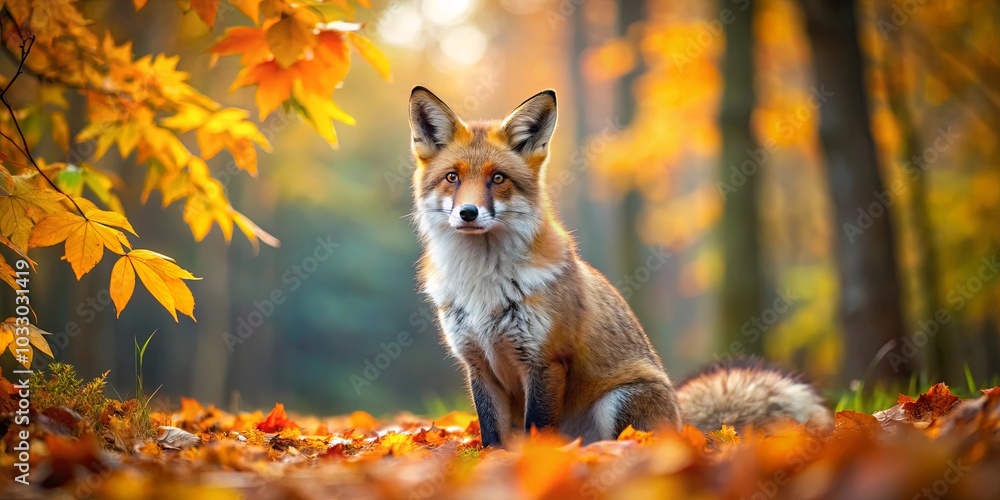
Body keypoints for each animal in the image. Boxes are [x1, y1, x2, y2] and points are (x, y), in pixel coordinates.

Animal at [407, 86, 832, 447]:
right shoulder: (478, 365)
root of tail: (686, 425)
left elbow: (537, 433)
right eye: (452, 177)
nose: (468, 213)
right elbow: (493, 439)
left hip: (618, 401)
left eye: (498, 178)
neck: (482, 283)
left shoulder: (545, 362)